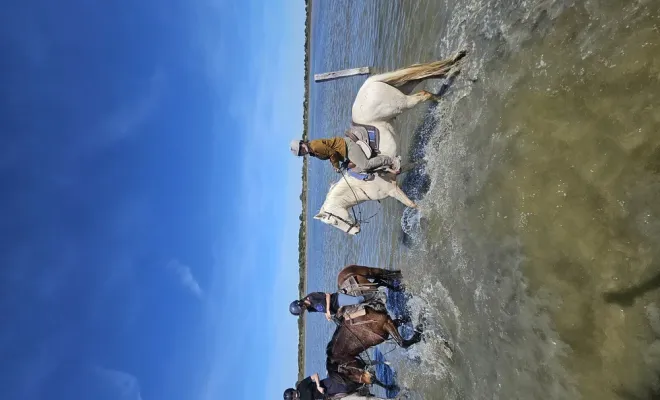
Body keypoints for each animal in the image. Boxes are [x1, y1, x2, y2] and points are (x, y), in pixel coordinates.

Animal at [314, 50, 467, 235]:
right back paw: (454, 67)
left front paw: (424, 214)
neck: (360, 185)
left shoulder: (392, 189)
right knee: (426, 74)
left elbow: (412, 204)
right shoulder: (398, 172)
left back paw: (442, 98)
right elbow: (415, 164)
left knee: (424, 93)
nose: (355, 232)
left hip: (403, 103)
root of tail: (370, 83)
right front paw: (427, 161)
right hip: (405, 85)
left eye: (334, 221)